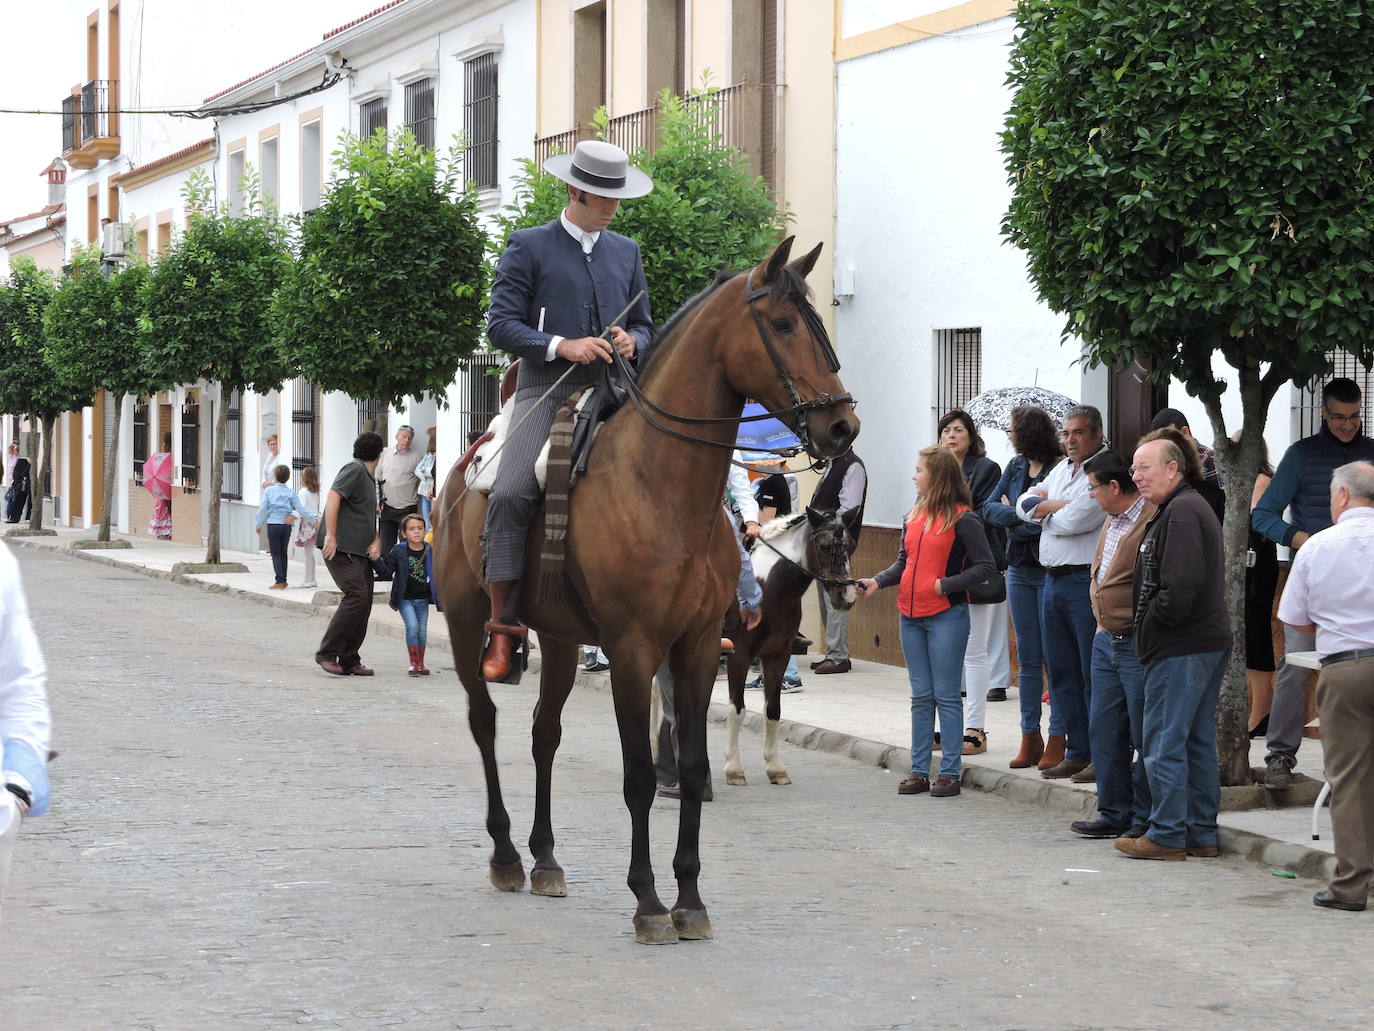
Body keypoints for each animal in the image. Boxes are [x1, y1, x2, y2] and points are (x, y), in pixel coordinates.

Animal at [428, 237, 857, 951]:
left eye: (819, 321)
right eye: (782, 324)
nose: (842, 427)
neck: (660, 484)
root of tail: (463, 470)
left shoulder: (695, 648)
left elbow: (689, 765)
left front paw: (690, 898)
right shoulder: (632, 649)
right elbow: (637, 775)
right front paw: (649, 901)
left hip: (562, 639)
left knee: (545, 733)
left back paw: (546, 858)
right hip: (467, 626)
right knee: (484, 723)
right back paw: (508, 855)